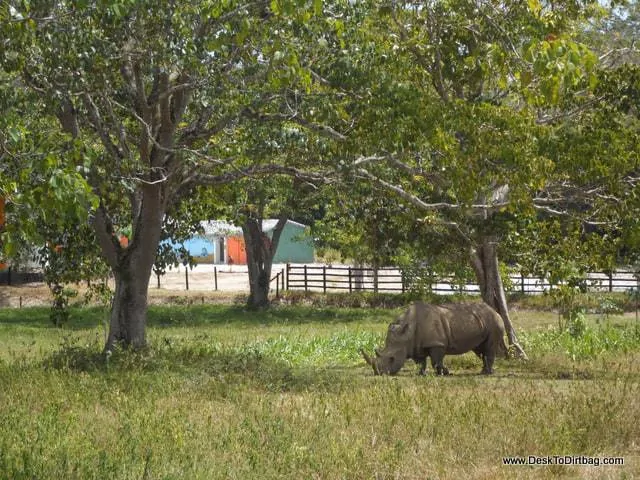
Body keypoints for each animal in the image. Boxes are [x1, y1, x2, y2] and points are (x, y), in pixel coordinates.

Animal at [362, 302, 508, 376]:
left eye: (391, 358)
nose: (379, 373)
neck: (407, 331)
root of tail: (495, 311)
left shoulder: (437, 343)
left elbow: (436, 361)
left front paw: (444, 373)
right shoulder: (414, 345)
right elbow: (420, 362)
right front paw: (421, 374)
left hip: (495, 322)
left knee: (489, 348)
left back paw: (486, 374)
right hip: (481, 320)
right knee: (480, 349)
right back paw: (485, 371)